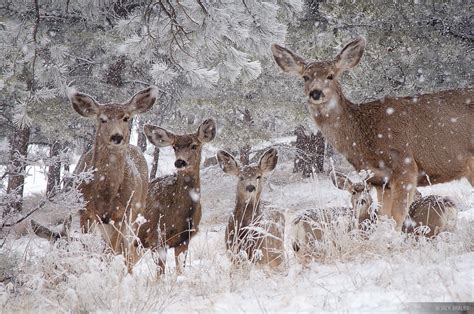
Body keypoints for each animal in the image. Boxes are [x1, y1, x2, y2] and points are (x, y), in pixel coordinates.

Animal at [65, 86, 156, 270]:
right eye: (102, 119)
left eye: (126, 118)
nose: (117, 136)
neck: (105, 194)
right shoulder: (85, 210)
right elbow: (89, 246)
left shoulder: (122, 214)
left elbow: (111, 250)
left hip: (137, 211)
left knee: (128, 250)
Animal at [139, 119, 217, 274]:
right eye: (175, 147)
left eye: (194, 145)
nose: (179, 162)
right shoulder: (156, 237)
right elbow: (160, 274)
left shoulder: (184, 239)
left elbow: (180, 270)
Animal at [272, 38, 472, 232]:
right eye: (305, 77)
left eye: (330, 75)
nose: (315, 93)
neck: (364, 136)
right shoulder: (379, 180)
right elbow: (383, 219)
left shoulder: (406, 166)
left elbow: (396, 220)